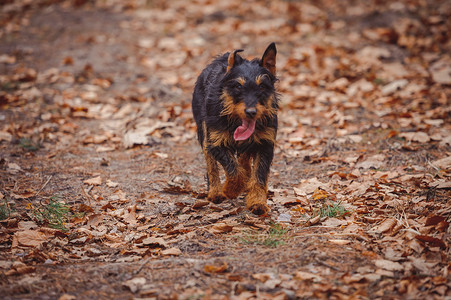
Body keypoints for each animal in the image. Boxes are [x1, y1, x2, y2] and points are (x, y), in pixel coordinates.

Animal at [192, 42, 278, 216]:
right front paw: (230, 190)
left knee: (244, 158)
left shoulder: (265, 144)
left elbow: (259, 175)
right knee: (211, 165)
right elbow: (233, 169)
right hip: (204, 132)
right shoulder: (215, 142)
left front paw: (257, 201)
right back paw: (216, 192)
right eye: (238, 86)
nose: (251, 112)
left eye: (263, 86)